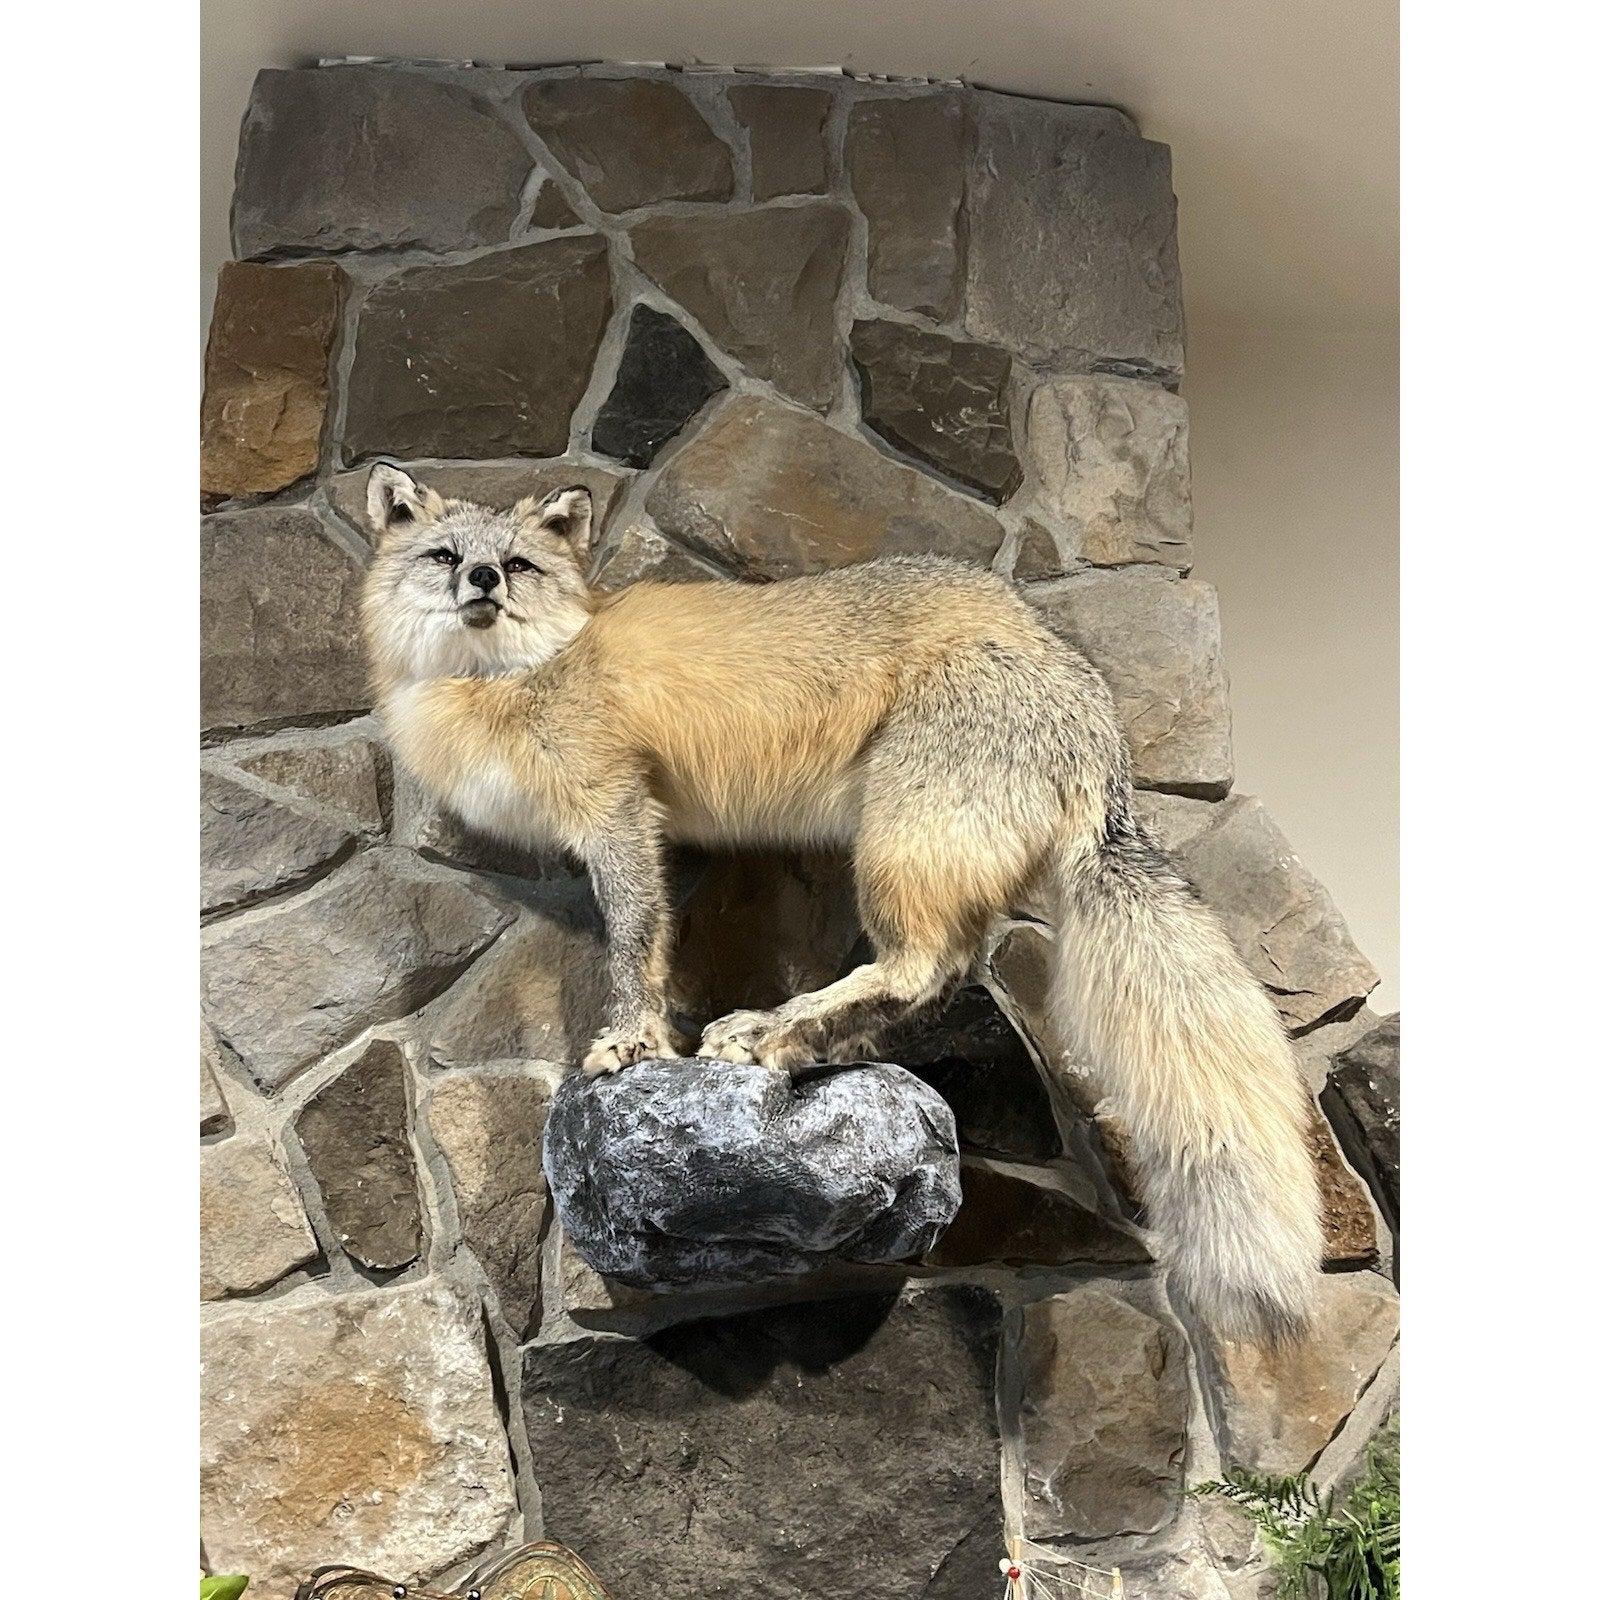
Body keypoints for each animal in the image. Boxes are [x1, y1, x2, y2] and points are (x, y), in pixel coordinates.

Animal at [359, 462, 1322, 1341]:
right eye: (445, 555)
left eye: (516, 564)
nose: (481, 582)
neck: (516, 677)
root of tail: (1093, 707)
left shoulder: (619, 816)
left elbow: (635, 941)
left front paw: (633, 1042)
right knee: (943, 973)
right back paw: (811, 1040)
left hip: (893, 848)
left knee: (924, 965)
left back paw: (770, 1030)